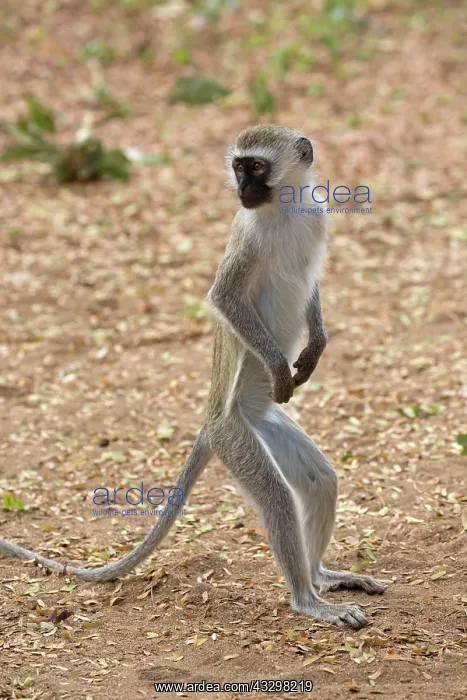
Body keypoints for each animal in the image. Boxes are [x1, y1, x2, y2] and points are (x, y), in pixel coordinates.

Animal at [0, 125, 385, 629]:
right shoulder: (246, 238)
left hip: (263, 425)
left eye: (255, 166)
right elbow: (224, 298)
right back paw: (308, 599)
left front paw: (316, 345)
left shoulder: (317, 214)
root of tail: (214, 420)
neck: (283, 207)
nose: (243, 189)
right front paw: (278, 368)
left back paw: (322, 576)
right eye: (239, 167)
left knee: (321, 482)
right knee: (277, 497)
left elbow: (313, 287)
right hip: (233, 435)